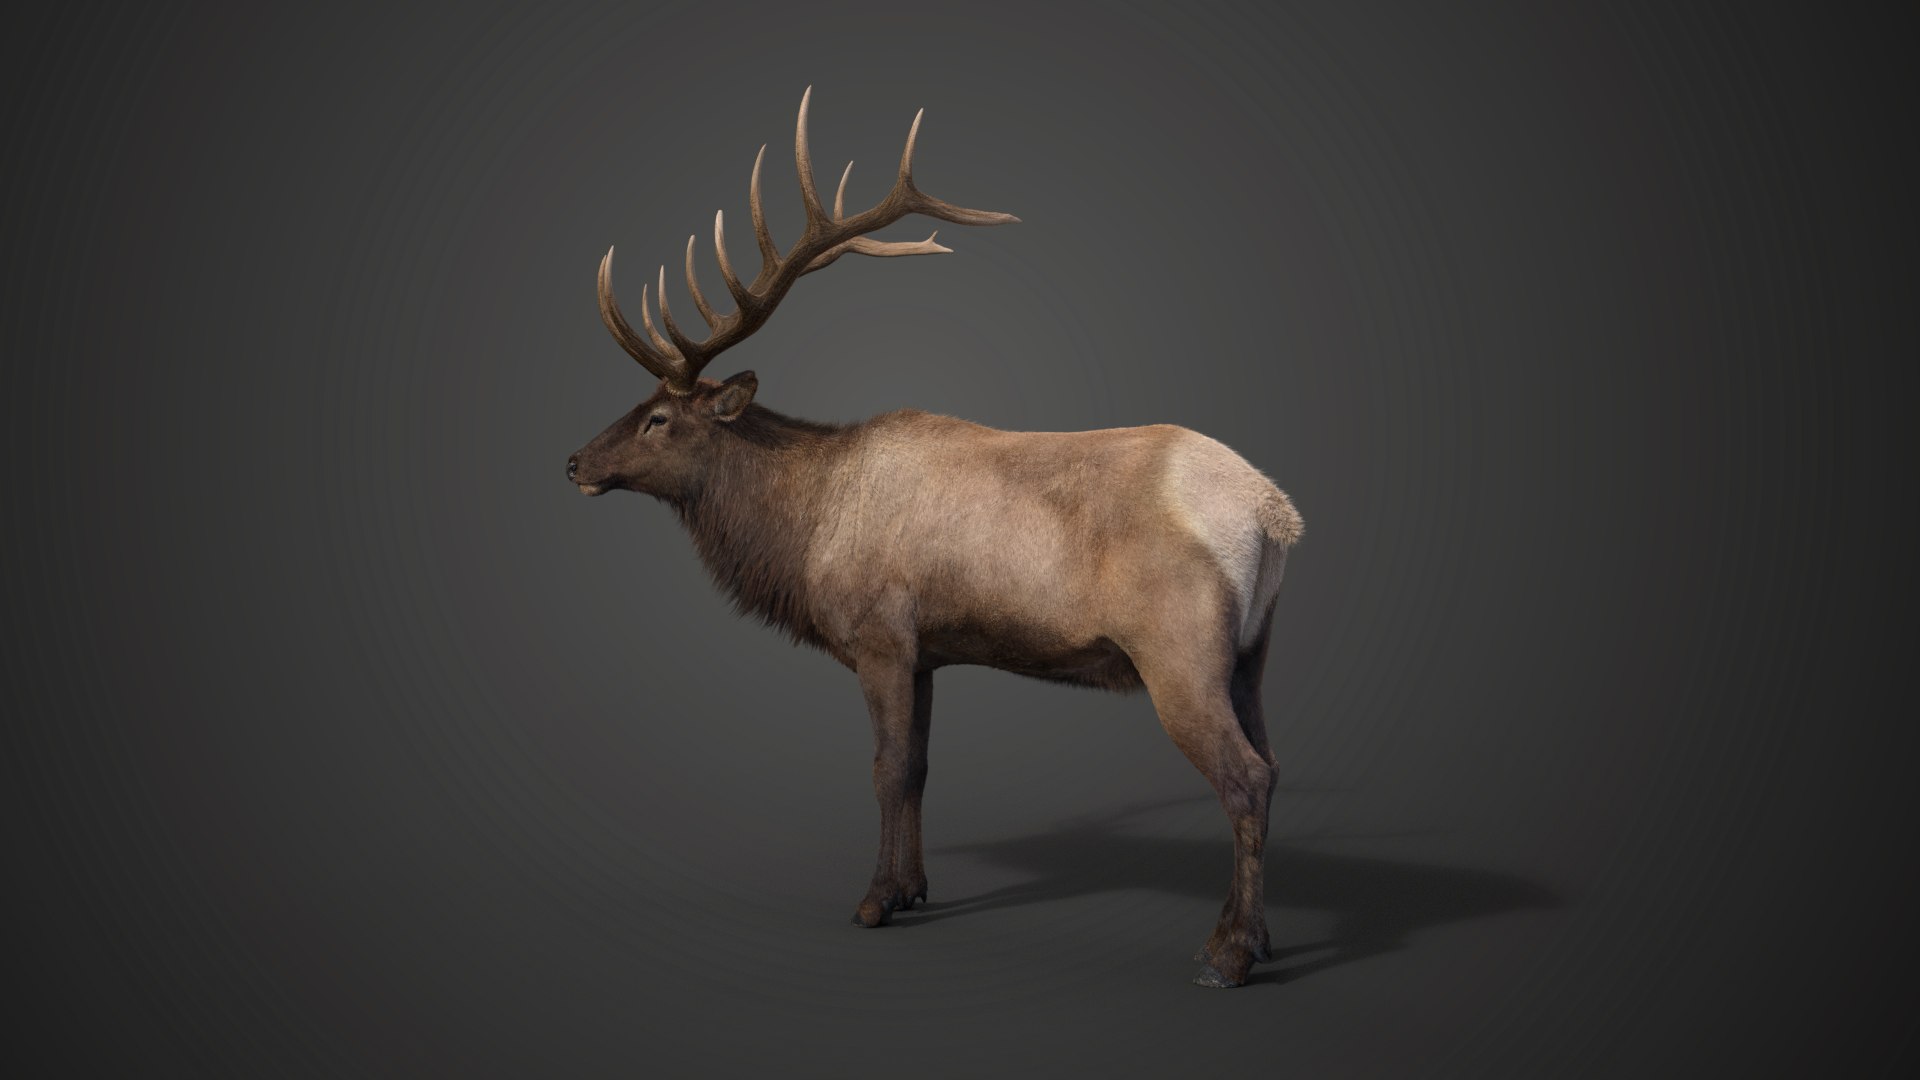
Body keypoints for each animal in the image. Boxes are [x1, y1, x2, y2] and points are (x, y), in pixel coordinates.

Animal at [566, 89, 1303, 988]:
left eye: (659, 419)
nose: (574, 461)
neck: (805, 528)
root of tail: (1274, 513)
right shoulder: (928, 651)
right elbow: (918, 769)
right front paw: (914, 888)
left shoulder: (879, 634)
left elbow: (886, 770)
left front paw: (874, 900)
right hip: (1252, 654)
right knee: (1274, 766)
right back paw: (1252, 937)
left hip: (1179, 652)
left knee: (1245, 777)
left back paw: (1228, 953)